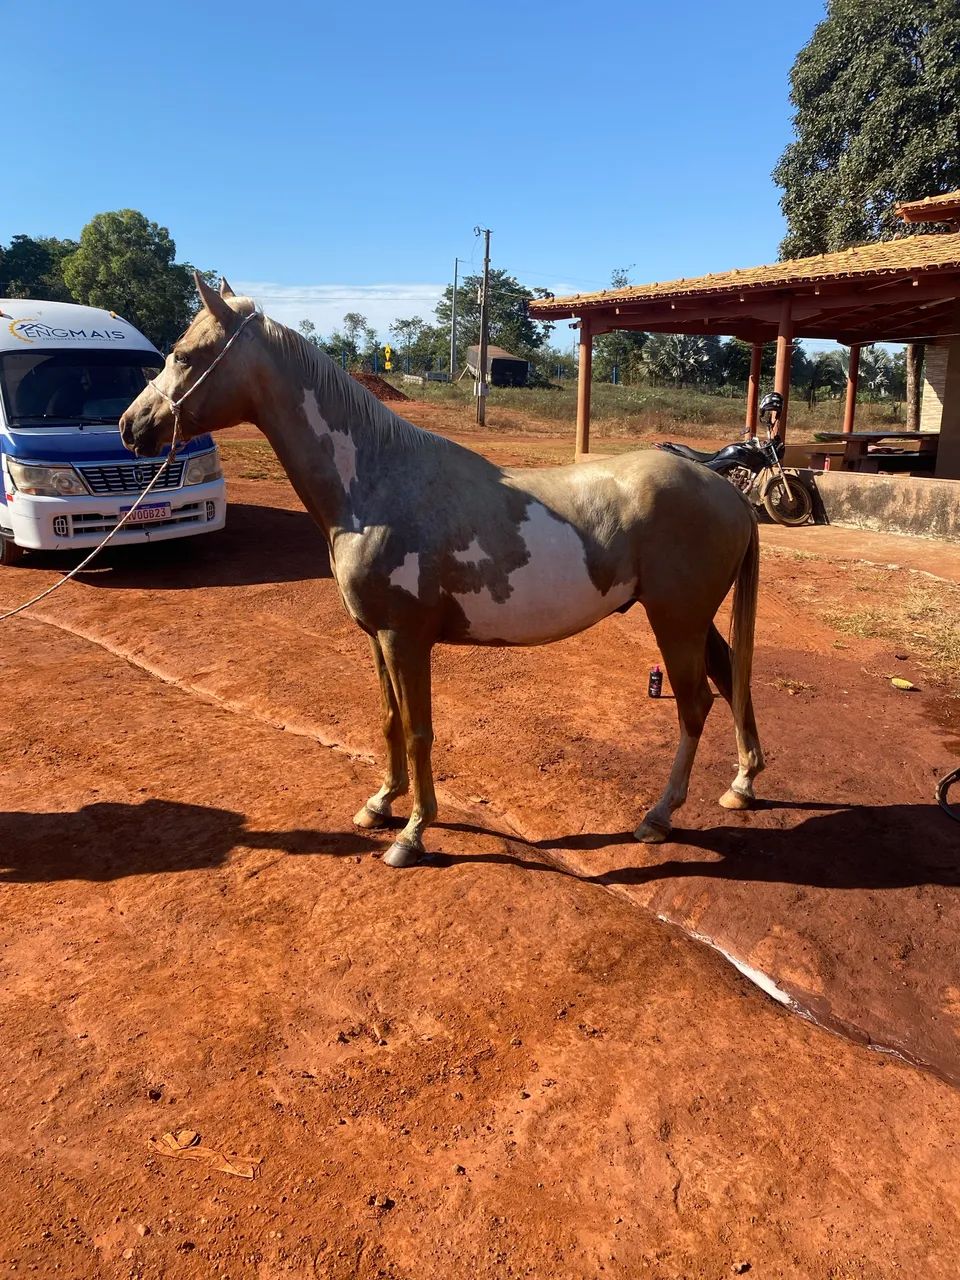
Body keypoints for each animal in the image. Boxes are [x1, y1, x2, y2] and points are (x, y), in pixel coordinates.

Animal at [120, 276, 764, 868]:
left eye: (183, 354)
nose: (131, 425)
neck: (376, 484)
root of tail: (728, 491)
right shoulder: (377, 637)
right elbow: (388, 720)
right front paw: (380, 804)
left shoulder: (405, 639)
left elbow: (417, 729)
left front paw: (412, 833)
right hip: (692, 620)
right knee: (730, 676)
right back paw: (741, 784)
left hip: (675, 620)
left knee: (694, 706)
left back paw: (658, 816)